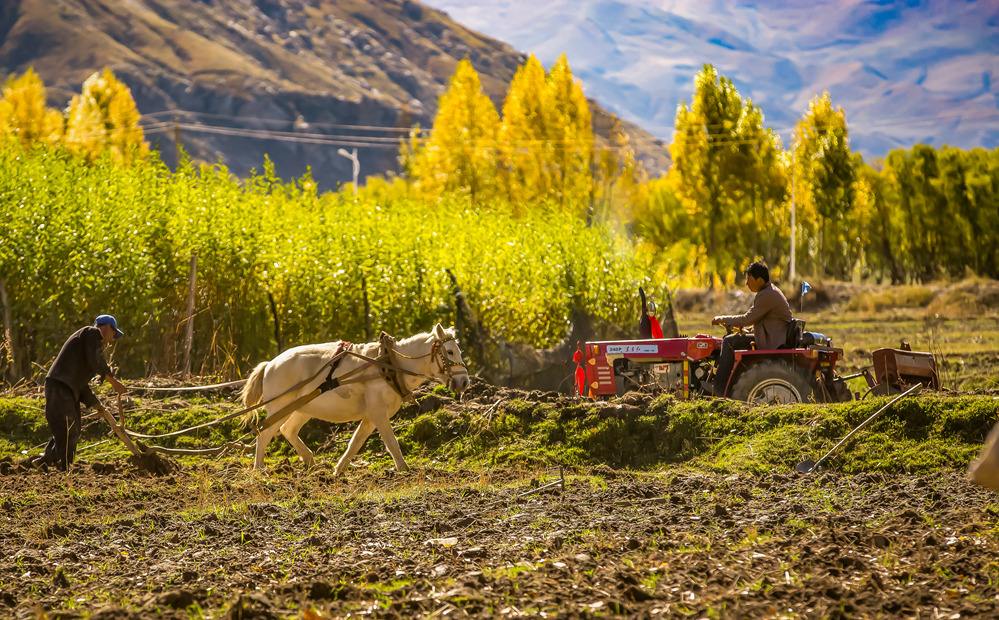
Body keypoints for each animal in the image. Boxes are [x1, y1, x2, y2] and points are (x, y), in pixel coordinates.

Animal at [241, 322, 468, 472]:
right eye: (449, 351)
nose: (464, 382)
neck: (390, 365)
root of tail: (270, 364)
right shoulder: (378, 413)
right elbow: (391, 443)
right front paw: (404, 469)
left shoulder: (370, 417)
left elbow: (355, 443)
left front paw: (338, 471)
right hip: (280, 407)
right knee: (265, 433)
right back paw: (259, 470)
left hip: (303, 408)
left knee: (287, 430)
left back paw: (311, 463)